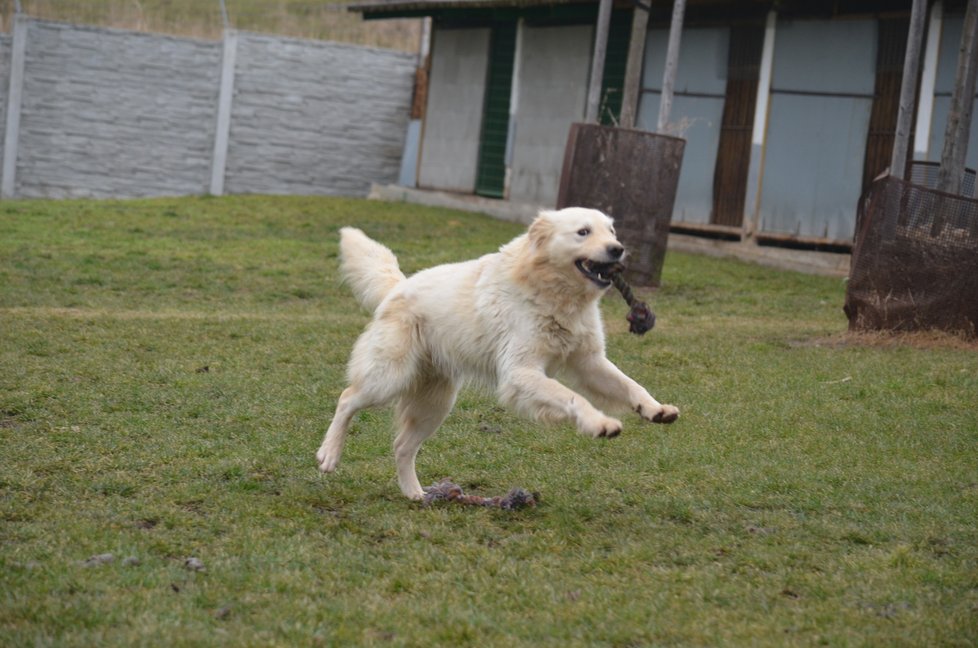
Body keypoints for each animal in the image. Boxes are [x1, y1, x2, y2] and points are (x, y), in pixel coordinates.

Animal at [316, 208, 676, 502]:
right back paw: (329, 455)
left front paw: (655, 409)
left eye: (611, 231)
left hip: (435, 404)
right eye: (583, 232)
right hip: (389, 378)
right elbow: (573, 397)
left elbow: (630, 385)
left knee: (402, 447)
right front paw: (599, 424)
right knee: (347, 399)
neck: (551, 291)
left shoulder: (589, 363)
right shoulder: (520, 372)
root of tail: (397, 287)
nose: (618, 249)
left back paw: (416, 494)